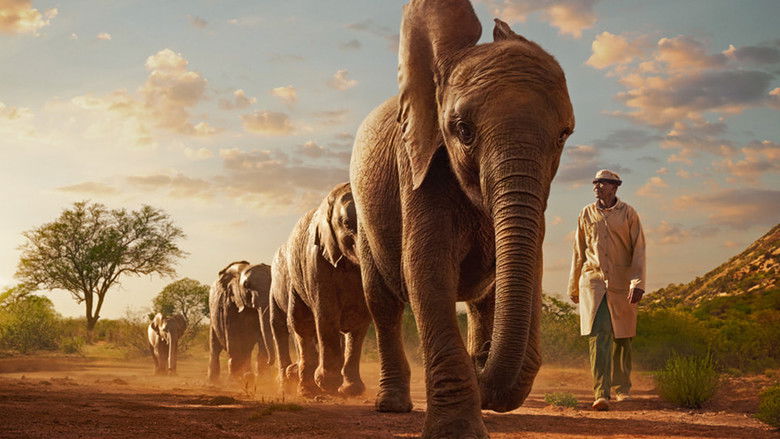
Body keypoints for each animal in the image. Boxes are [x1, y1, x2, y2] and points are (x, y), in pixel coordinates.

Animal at [270, 182, 370, 397]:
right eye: (347, 223)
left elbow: (360, 320)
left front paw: (351, 391)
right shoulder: (315, 260)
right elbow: (326, 313)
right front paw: (327, 384)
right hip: (292, 281)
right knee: (299, 324)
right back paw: (304, 388)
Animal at [349, 1, 574, 437]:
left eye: (563, 135)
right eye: (463, 131)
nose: (481, 360)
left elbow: (531, 266)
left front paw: (483, 380)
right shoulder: (416, 164)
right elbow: (426, 266)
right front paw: (456, 429)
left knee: (482, 301)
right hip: (365, 220)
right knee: (382, 304)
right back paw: (393, 406)